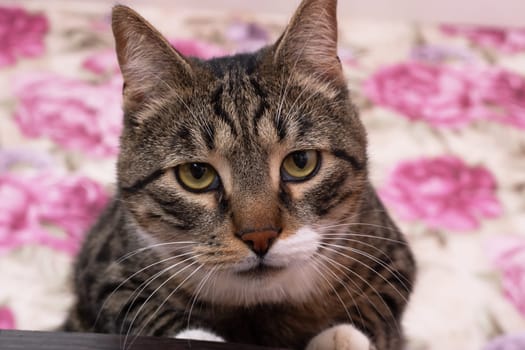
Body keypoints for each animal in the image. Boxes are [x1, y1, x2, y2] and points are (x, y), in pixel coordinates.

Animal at [62, 0, 414, 350]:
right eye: (196, 173)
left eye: (301, 162)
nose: (260, 236)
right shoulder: (104, 272)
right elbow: (134, 306)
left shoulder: (393, 258)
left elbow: (376, 307)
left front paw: (340, 338)